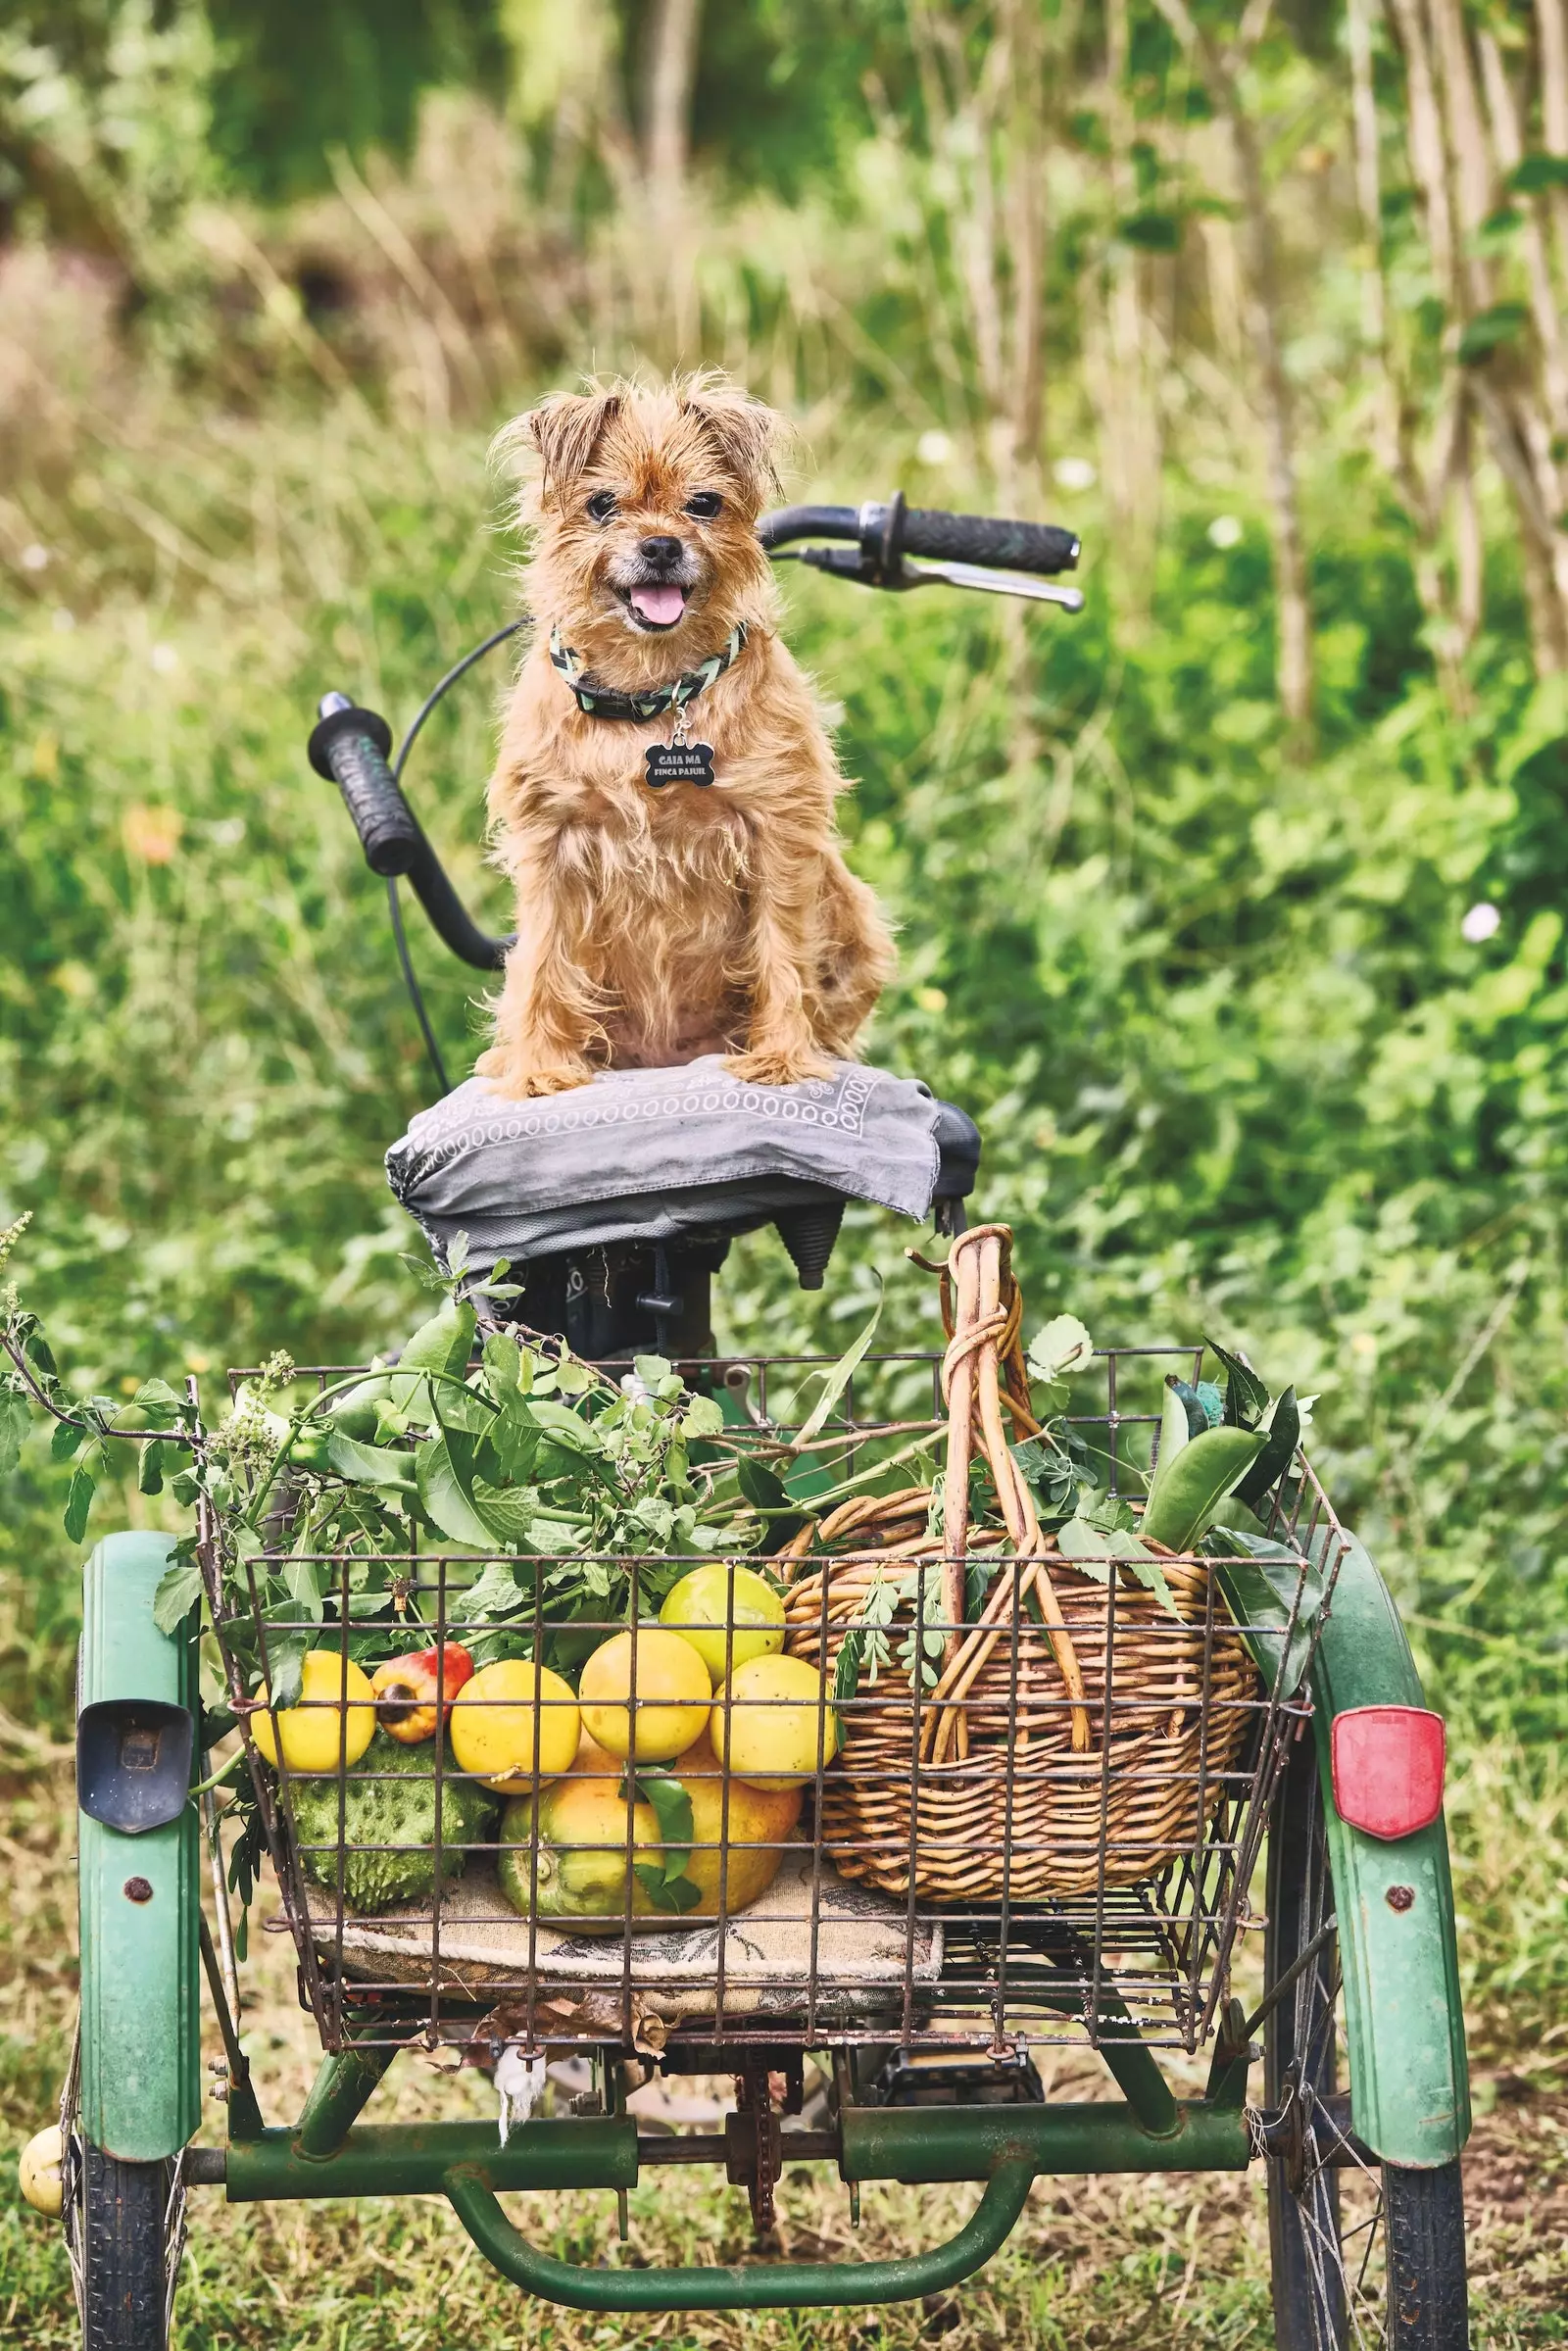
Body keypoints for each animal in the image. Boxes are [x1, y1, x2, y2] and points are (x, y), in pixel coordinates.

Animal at [474, 368, 893, 1100]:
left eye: (703, 504)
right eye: (602, 506)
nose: (661, 544)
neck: (650, 693)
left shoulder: (778, 835)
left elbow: (782, 951)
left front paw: (781, 1057)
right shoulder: (550, 849)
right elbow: (546, 960)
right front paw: (539, 1068)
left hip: (852, 913)